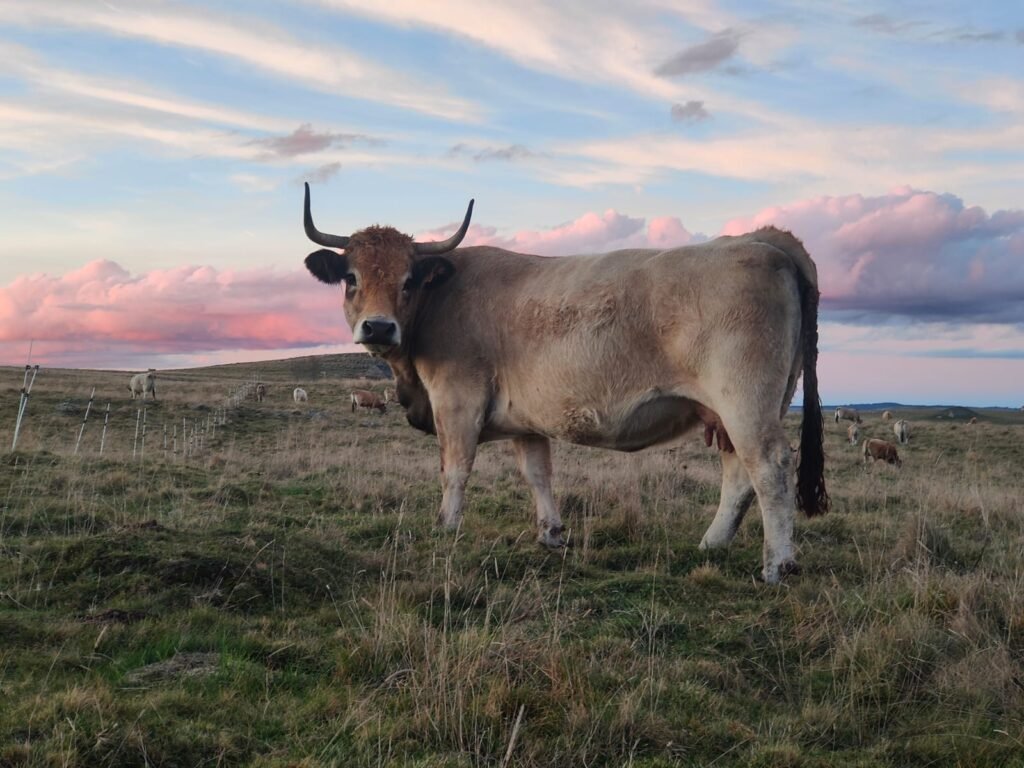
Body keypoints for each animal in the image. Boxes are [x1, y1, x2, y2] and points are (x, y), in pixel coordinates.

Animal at [301, 184, 829, 584]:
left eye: (409, 280)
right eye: (351, 278)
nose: (378, 327)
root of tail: (760, 240)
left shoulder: (456, 400)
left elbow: (455, 469)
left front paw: (446, 528)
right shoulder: (525, 419)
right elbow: (538, 473)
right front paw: (551, 534)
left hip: (745, 402)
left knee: (769, 467)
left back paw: (778, 565)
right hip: (729, 410)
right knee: (739, 474)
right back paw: (711, 545)